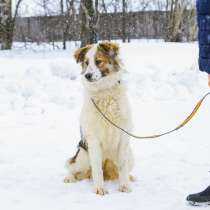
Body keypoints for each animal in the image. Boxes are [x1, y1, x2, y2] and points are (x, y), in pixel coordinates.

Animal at [64, 41, 134, 196]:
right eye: (86, 63)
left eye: (98, 61)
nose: (87, 75)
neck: (104, 92)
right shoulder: (93, 139)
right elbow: (97, 168)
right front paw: (99, 188)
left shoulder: (123, 137)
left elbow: (123, 165)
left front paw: (124, 185)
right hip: (83, 156)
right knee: (72, 167)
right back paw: (69, 177)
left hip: (131, 155)